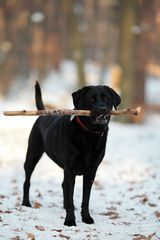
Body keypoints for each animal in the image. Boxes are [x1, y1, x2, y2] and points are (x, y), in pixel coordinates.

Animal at [21, 81, 120, 226]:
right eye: (91, 99)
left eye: (106, 98)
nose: (102, 109)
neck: (89, 136)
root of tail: (43, 113)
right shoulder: (70, 170)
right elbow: (71, 199)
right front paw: (70, 220)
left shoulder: (91, 172)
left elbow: (85, 199)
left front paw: (86, 218)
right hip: (32, 155)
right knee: (27, 181)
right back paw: (26, 203)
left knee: (64, 186)